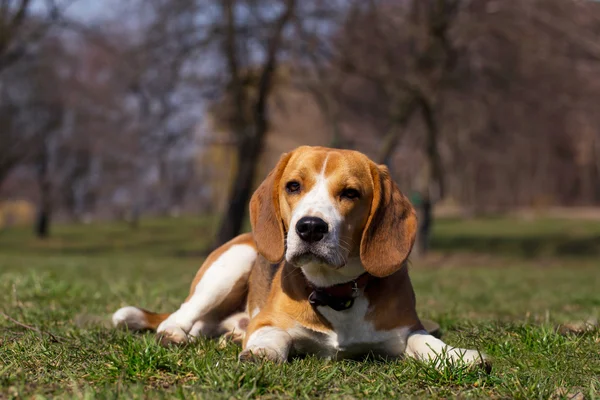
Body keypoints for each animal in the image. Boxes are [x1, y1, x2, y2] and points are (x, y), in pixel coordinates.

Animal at [112, 145, 488, 368]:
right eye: (293, 186)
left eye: (350, 193)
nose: (310, 227)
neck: (335, 292)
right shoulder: (268, 322)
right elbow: (271, 333)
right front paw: (261, 351)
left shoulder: (404, 329)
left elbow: (424, 340)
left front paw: (458, 354)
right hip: (233, 261)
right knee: (182, 314)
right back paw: (176, 333)